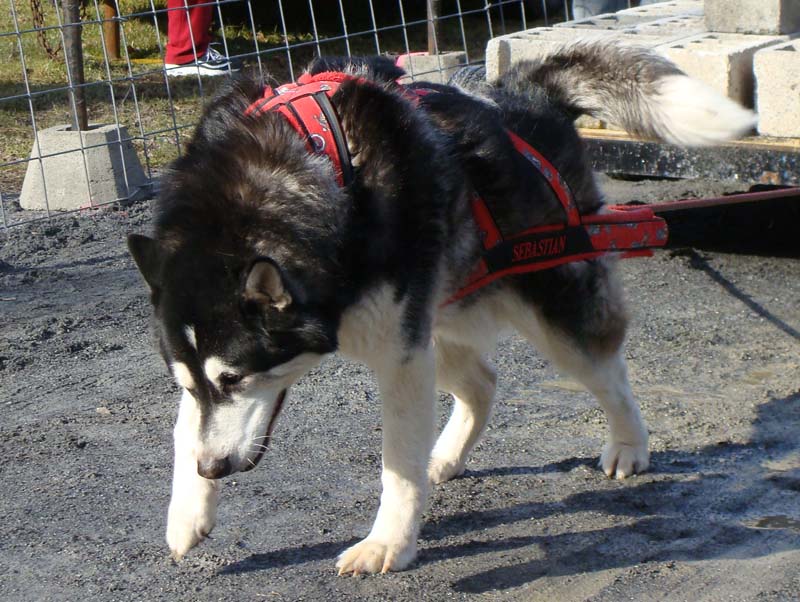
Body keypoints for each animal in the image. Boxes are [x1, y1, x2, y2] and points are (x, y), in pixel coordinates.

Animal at [126, 42, 756, 572]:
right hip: (433, 318)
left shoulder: (399, 357)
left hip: (543, 307)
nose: (213, 469)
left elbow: (397, 464)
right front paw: (187, 511)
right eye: (190, 385)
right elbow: (185, 429)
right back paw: (446, 455)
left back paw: (628, 445)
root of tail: (526, 97)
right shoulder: (401, 345)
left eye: (234, 379)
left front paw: (388, 543)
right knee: (481, 382)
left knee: (607, 368)